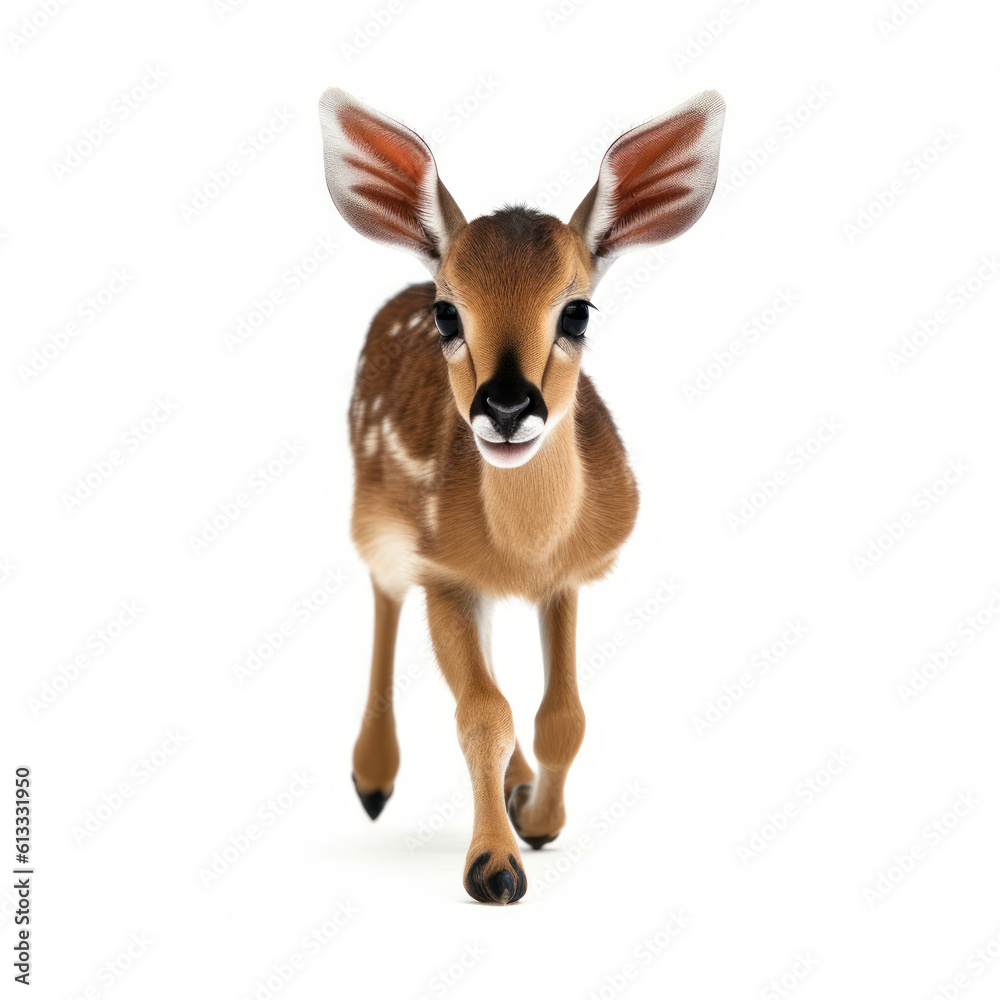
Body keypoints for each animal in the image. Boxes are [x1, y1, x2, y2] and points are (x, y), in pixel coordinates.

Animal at [318, 87, 725, 904]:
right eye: (448, 312)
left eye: (577, 310)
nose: (506, 408)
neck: (525, 550)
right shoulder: (443, 570)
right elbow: (481, 711)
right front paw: (494, 867)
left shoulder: (567, 579)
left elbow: (559, 714)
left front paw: (538, 819)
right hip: (375, 514)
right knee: (385, 599)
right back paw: (374, 779)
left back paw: (515, 787)